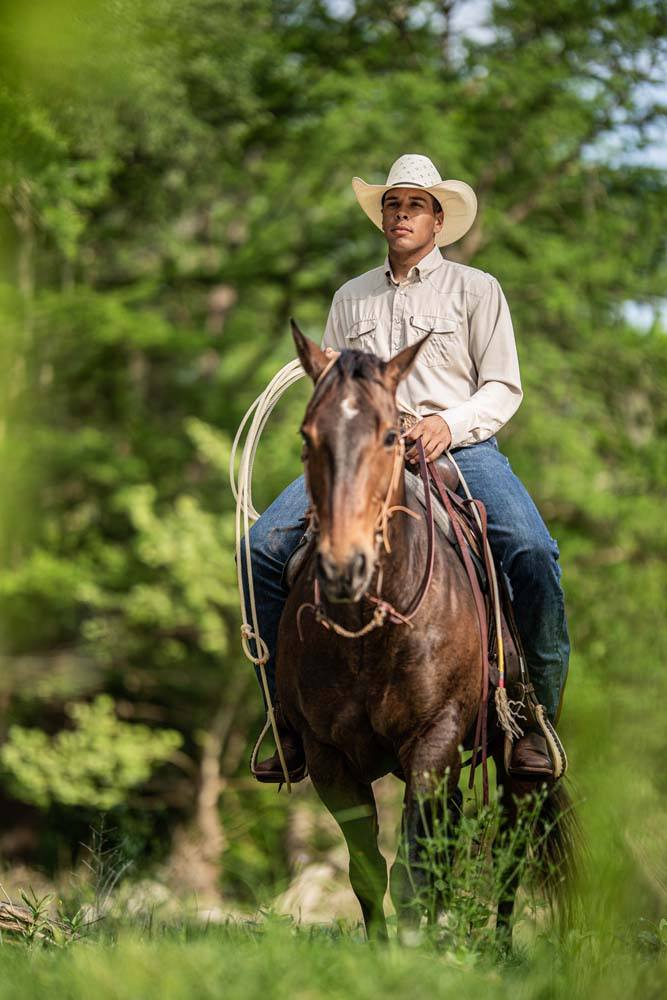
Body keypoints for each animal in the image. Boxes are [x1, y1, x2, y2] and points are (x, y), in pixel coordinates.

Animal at [276, 324, 580, 940]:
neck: (367, 633)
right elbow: (370, 870)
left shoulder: (433, 740)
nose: (344, 565)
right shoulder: (327, 758)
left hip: (518, 766)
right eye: (307, 434)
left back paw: (498, 944)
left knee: (509, 848)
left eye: (392, 435)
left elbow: (415, 874)